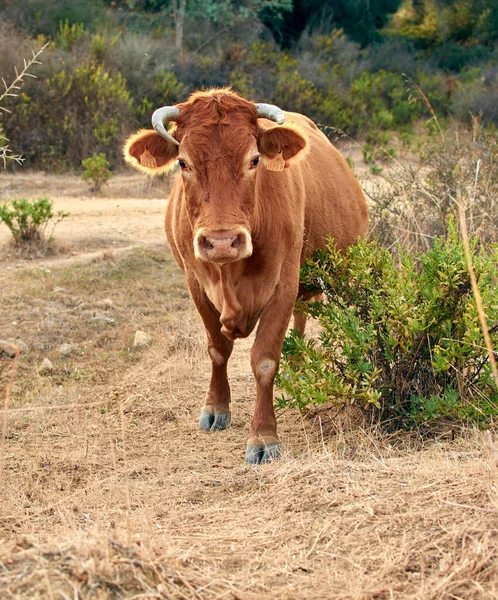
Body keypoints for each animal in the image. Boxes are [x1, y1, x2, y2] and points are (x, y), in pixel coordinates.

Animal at [122, 88, 368, 464]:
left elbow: (265, 361)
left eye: (254, 160)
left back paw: (298, 367)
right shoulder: (196, 285)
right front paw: (216, 407)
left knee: (302, 314)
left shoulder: (283, 284)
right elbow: (217, 349)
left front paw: (263, 436)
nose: (222, 241)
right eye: (183, 163)